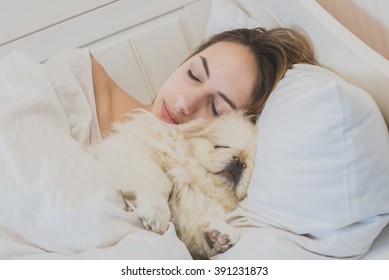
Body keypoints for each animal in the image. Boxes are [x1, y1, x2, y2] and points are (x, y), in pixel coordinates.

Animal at [93, 109, 258, 258]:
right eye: (221, 147)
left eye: (251, 167)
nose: (240, 161)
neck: (197, 184)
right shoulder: (129, 149)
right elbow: (160, 179)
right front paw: (158, 213)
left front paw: (219, 235)